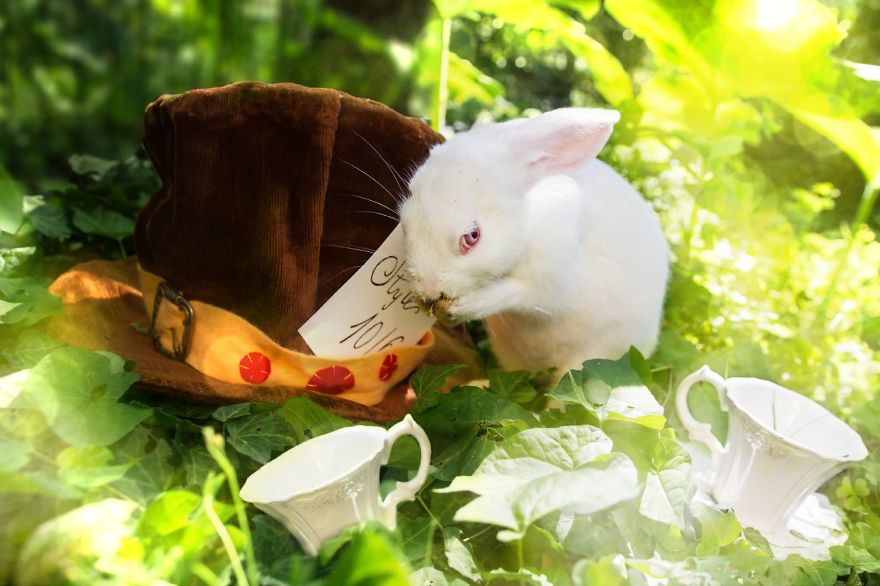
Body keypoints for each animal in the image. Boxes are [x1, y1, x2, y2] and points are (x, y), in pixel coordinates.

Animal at [398, 108, 668, 374]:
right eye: (405, 220)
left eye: (472, 237)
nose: (428, 289)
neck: (529, 222)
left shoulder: (549, 279)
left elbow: (517, 293)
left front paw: (468, 305)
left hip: (591, 356)